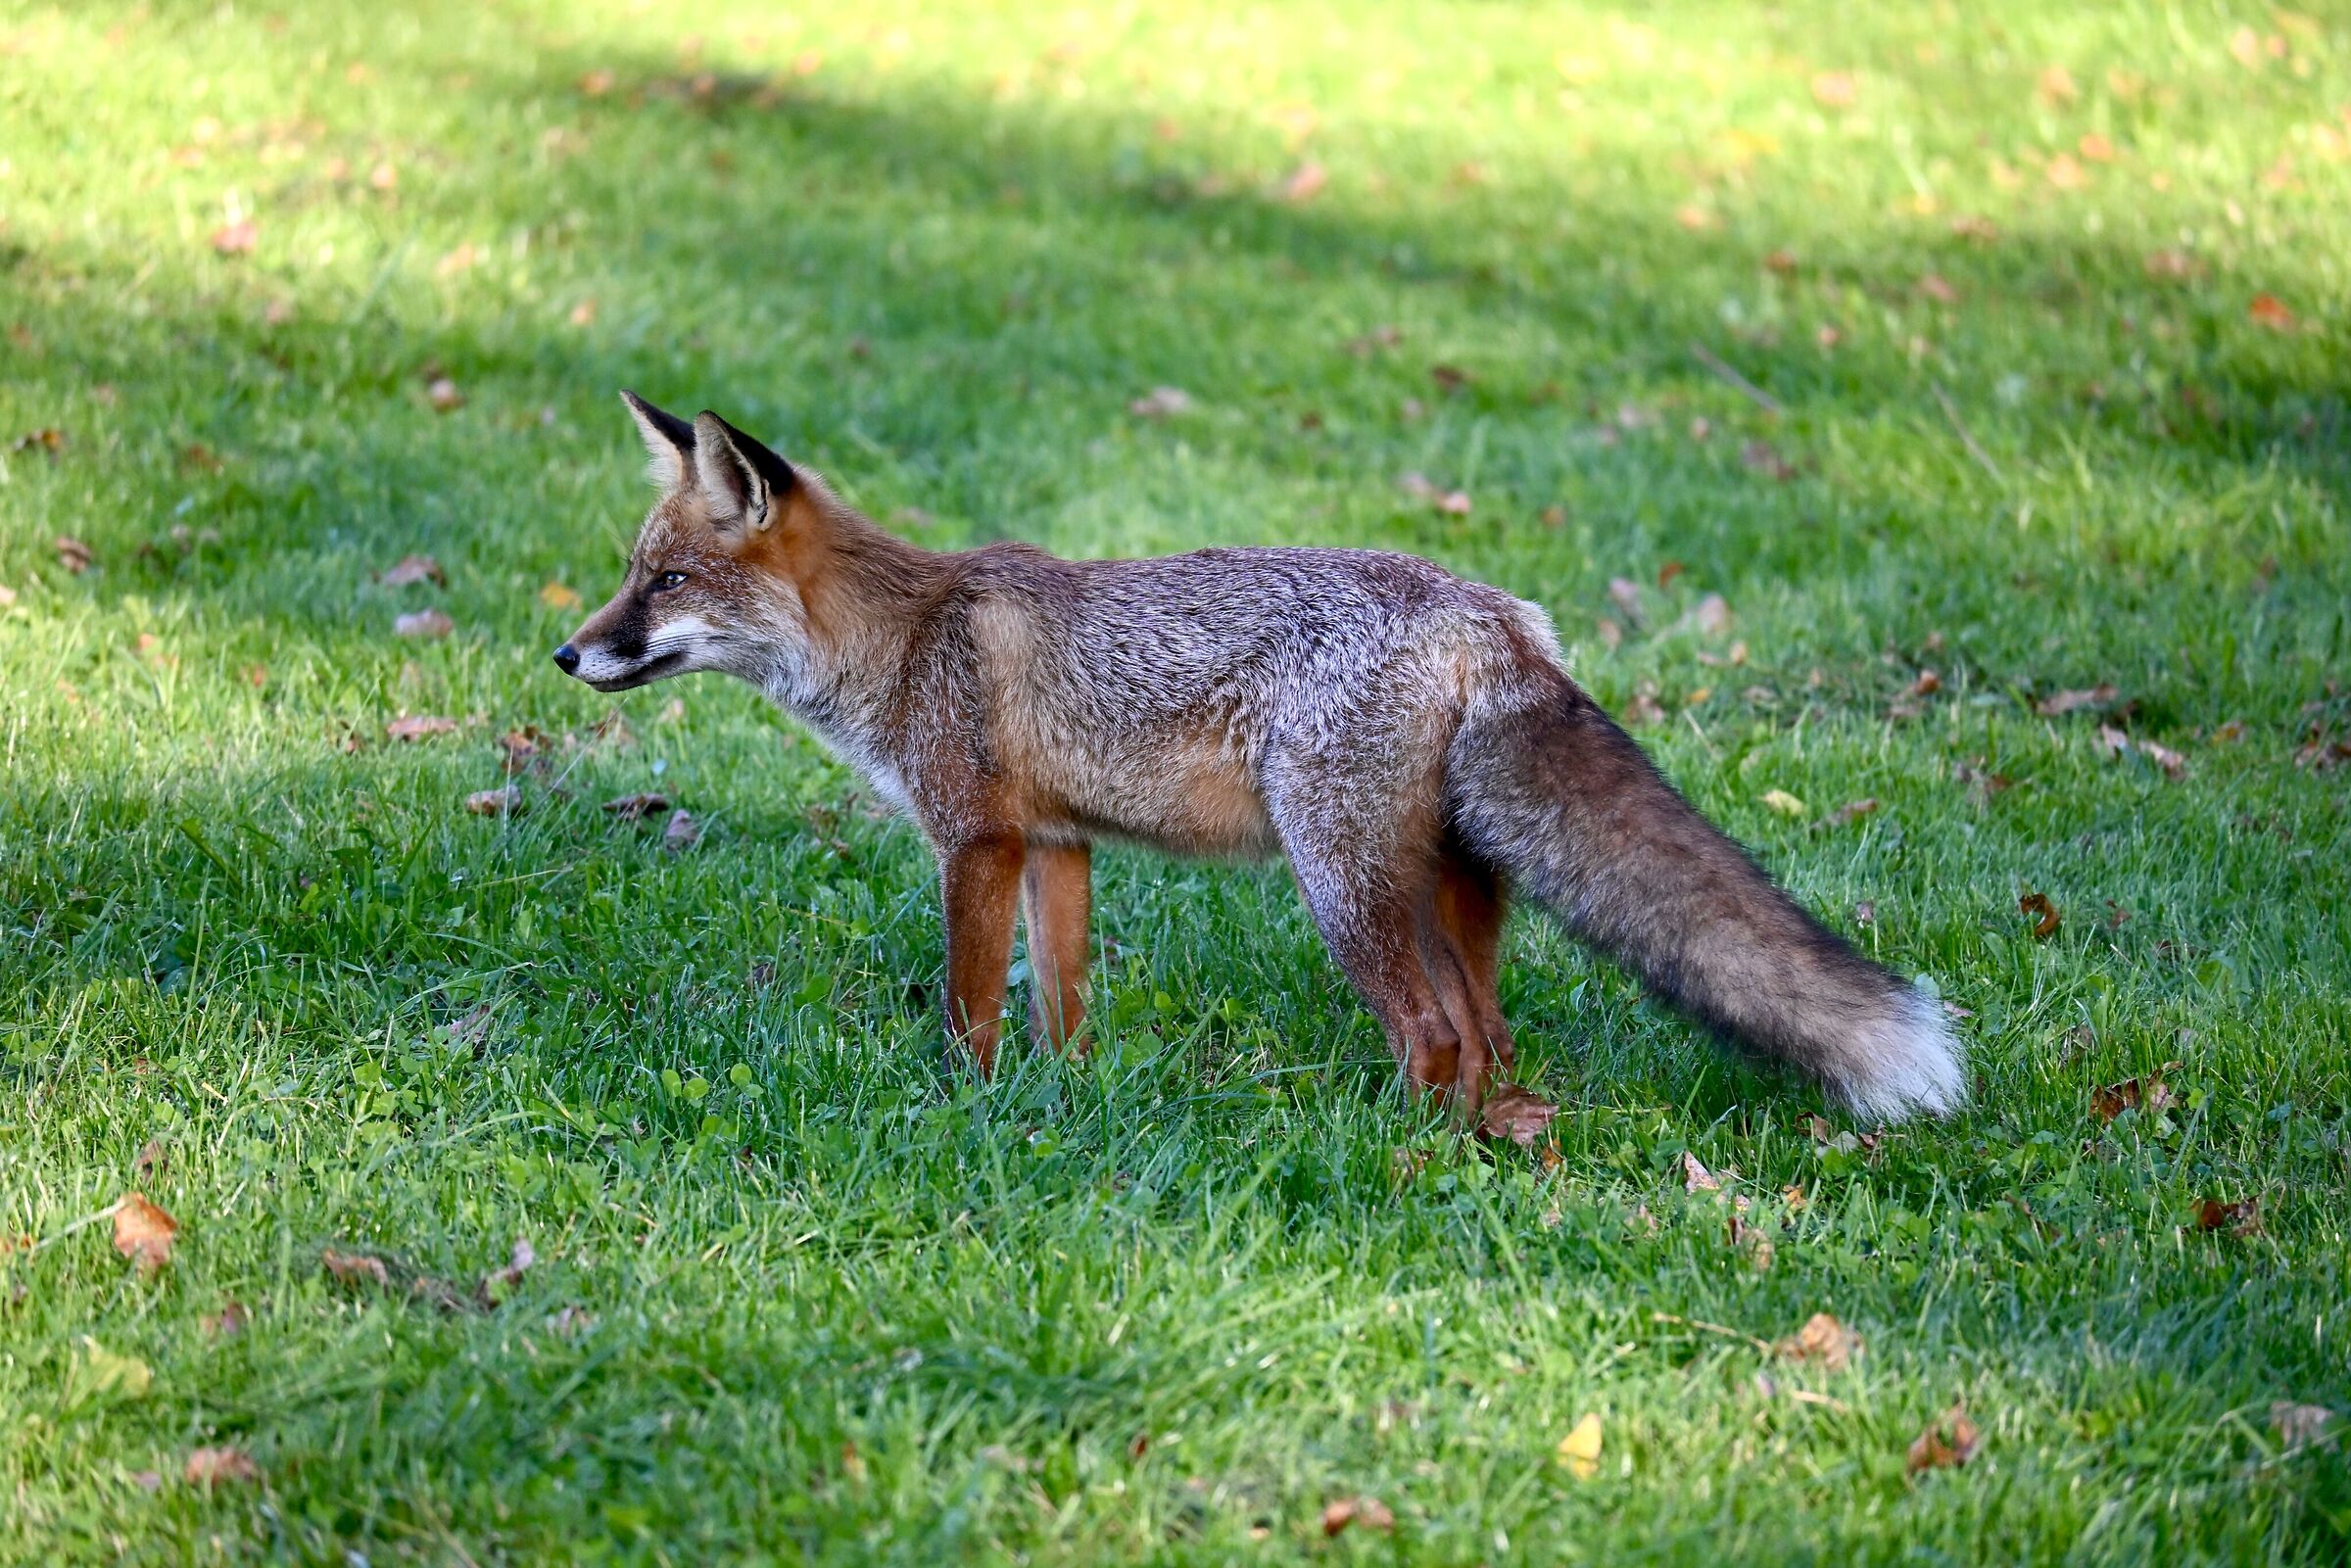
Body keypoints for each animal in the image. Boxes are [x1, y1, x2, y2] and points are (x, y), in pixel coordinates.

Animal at [554, 392, 1966, 1122]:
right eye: (630, 573)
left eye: (665, 583)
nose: (568, 654)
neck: (903, 637)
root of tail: (1495, 615)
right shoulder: (1060, 846)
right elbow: (1062, 1007)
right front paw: (1062, 1113)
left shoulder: (978, 842)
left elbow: (969, 1015)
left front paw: (960, 1114)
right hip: (1445, 886)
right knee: (1492, 1038)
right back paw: (1478, 1151)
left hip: (1338, 882)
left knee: (1433, 1034)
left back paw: (1388, 1168)